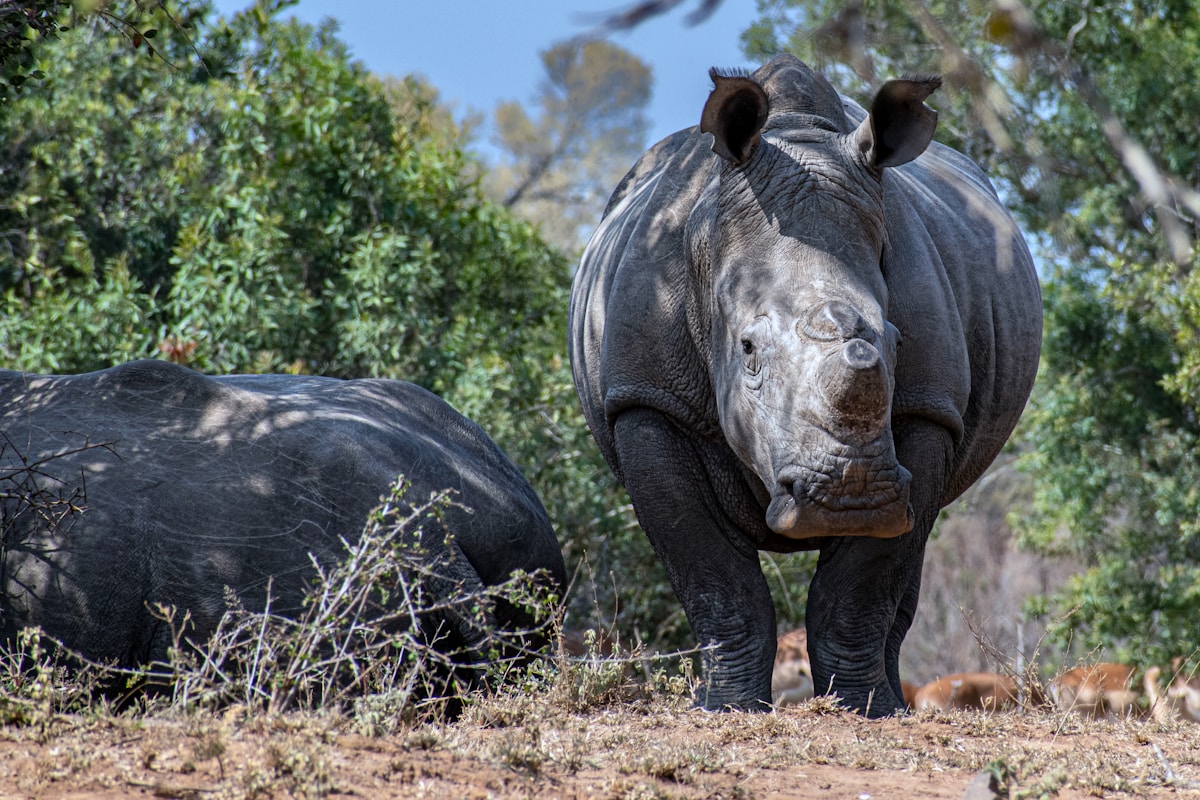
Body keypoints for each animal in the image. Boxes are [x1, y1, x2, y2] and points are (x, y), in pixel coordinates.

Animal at [569, 55, 1042, 715]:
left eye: (898, 343)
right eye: (747, 351)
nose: (850, 496)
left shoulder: (928, 409)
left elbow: (862, 583)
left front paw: (868, 710)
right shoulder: (646, 401)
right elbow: (713, 575)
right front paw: (726, 708)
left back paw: (894, 698)